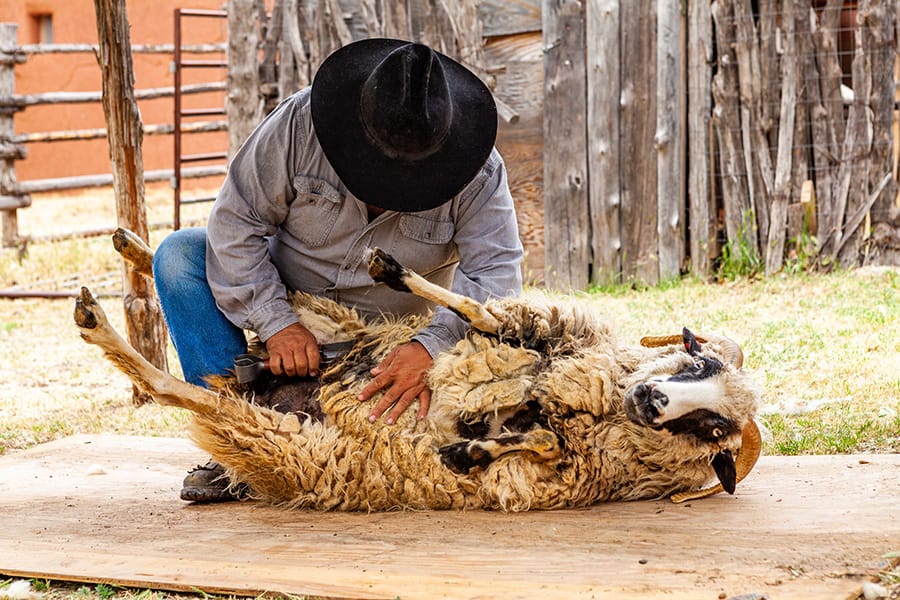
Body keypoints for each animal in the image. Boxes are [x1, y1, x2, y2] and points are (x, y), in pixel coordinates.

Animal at [73, 229, 762, 511]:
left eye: (713, 431)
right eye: (698, 357)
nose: (652, 401)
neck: (592, 408)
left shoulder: (552, 473)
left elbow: (533, 441)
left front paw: (471, 449)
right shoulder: (542, 331)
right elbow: (476, 308)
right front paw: (394, 270)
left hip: (281, 440)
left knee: (174, 388)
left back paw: (98, 321)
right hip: (333, 325)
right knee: (229, 270)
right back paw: (132, 246)